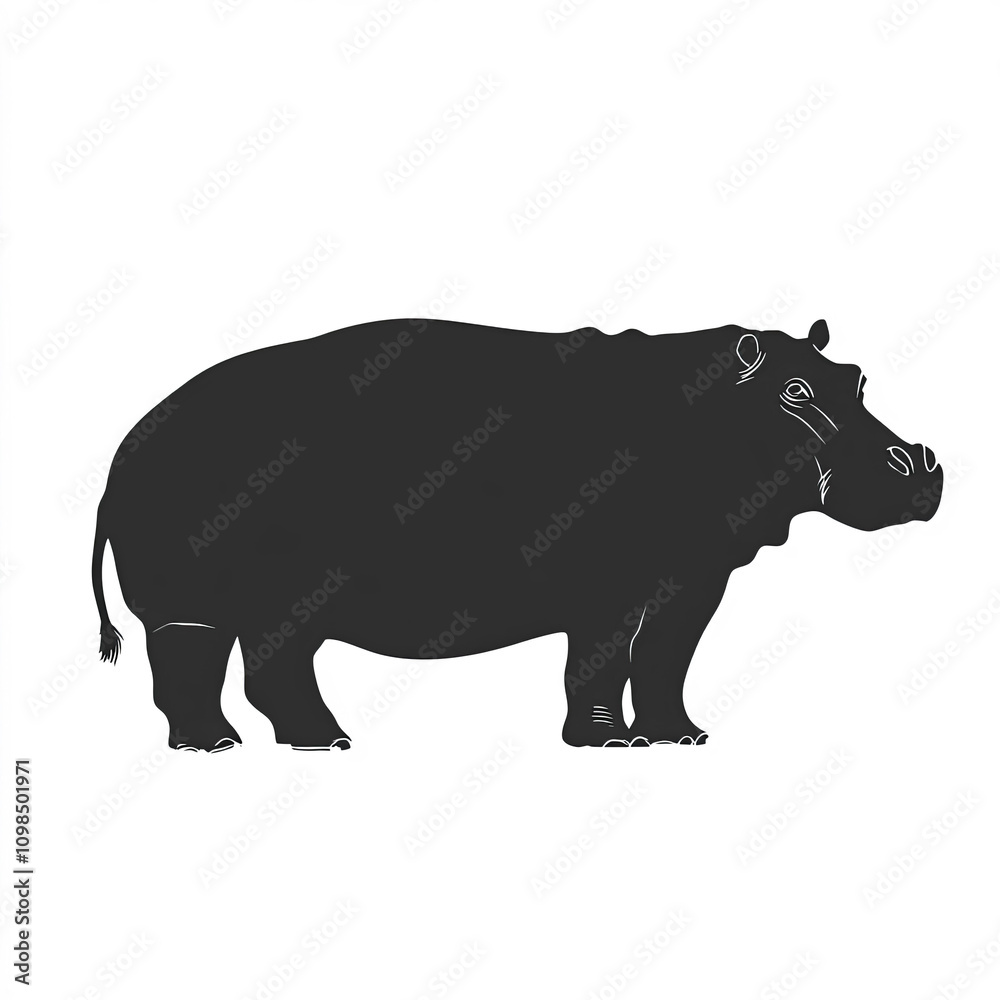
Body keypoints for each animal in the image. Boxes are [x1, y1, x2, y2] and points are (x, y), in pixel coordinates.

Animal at [92, 318, 942, 751]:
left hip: (276, 601)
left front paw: (684, 738)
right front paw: (610, 745)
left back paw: (301, 742)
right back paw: (241, 746)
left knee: (259, 664)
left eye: (858, 378)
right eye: (794, 392)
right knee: (198, 660)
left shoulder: (696, 576)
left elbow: (667, 658)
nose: (919, 462)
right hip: (204, 601)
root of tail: (123, 447)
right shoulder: (608, 582)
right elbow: (601, 661)